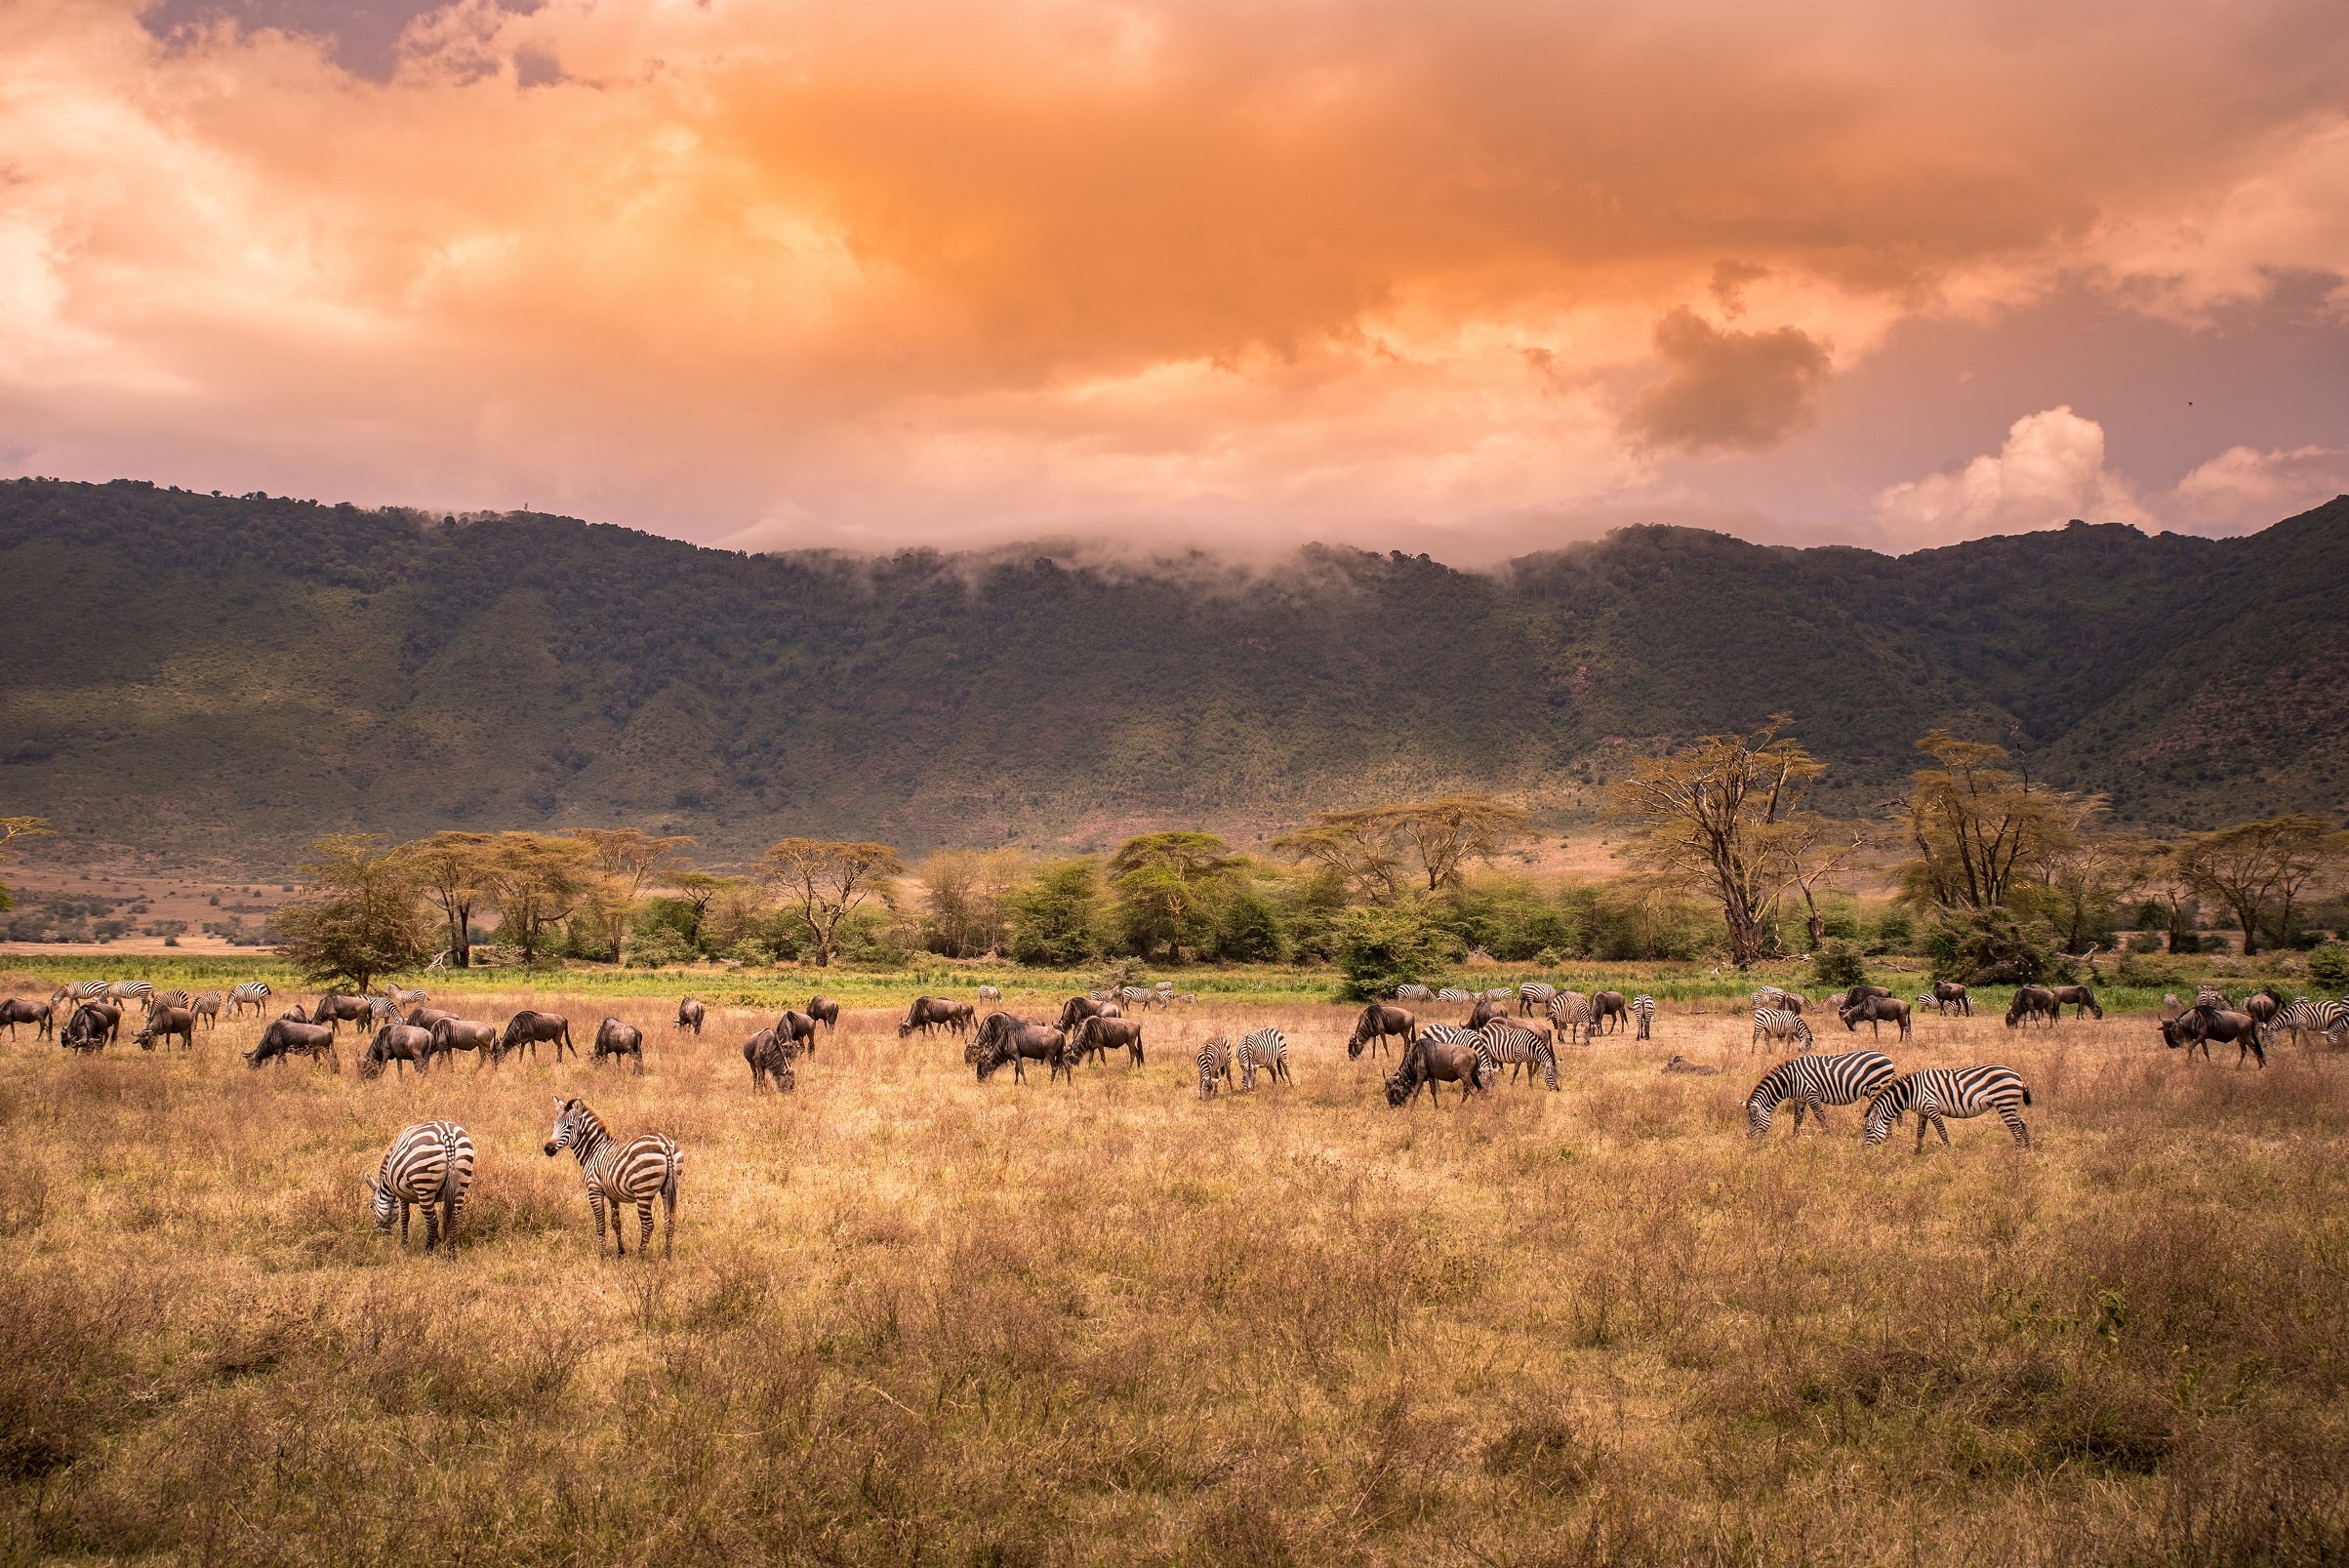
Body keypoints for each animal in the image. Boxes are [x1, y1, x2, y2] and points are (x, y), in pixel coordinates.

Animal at [364, 1121, 474, 1258]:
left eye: (371, 1207)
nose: (381, 1235)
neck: (387, 1183)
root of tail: (447, 1136)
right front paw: (439, 1240)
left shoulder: (402, 1195)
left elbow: (405, 1217)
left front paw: (404, 1245)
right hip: (461, 1183)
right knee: (453, 1219)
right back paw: (451, 1254)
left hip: (424, 1182)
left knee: (432, 1222)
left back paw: (427, 1253)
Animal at [547, 1103, 685, 1258]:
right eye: (554, 1124)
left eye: (569, 1127)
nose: (547, 1148)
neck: (593, 1151)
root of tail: (665, 1144)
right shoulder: (612, 1194)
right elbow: (616, 1222)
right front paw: (621, 1252)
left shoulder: (594, 1190)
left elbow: (600, 1223)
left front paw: (603, 1254)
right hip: (669, 1187)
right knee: (670, 1222)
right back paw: (667, 1257)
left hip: (643, 1189)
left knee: (648, 1225)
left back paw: (640, 1257)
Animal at [1738, 1051, 1897, 1141]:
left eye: (1754, 1120)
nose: (1750, 1140)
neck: (1790, 1080)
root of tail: (1888, 1058)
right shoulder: (1800, 1098)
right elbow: (1797, 1118)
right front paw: (1793, 1138)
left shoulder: (1812, 1094)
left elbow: (1820, 1116)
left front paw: (1827, 1136)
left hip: (1877, 1087)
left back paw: (1888, 1139)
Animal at [1860, 1065, 2029, 1149]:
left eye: (1868, 1130)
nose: (1864, 1152)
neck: (1910, 1092)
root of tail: (2018, 1076)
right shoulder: (1922, 1112)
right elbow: (1920, 1133)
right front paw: (1916, 1153)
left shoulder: (1931, 1107)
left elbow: (1942, 1132)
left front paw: (1949, 1152)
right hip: (2009, 1104)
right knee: (2023, 1124)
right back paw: (2027, 1151)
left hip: (2004, 1102)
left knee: (2016, 1129)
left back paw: (2017, 1154)